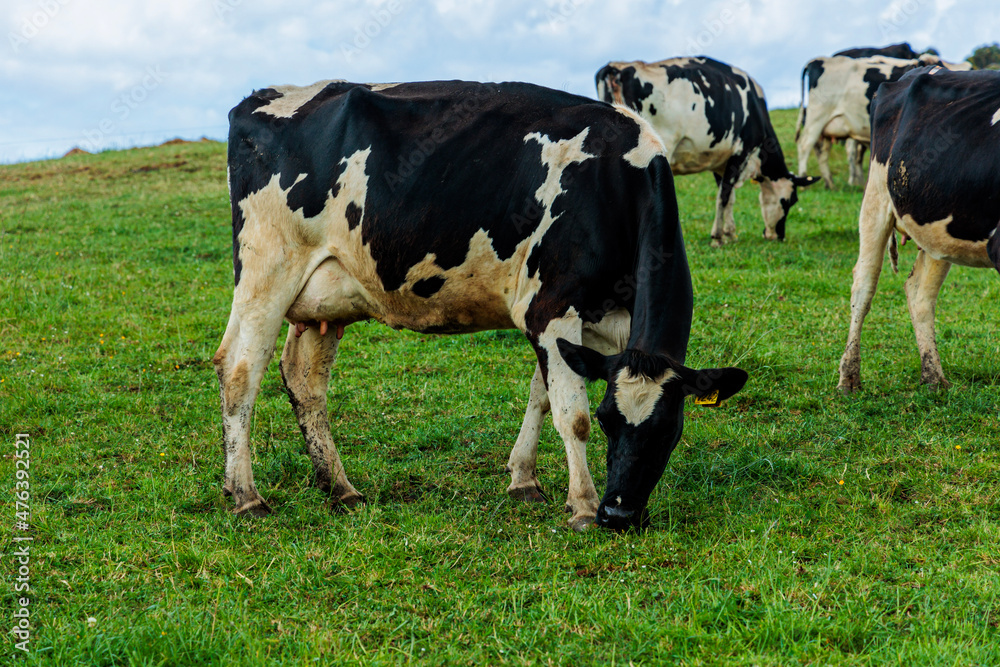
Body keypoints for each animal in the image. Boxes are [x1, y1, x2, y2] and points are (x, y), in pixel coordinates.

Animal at [219, 77, 752, 532]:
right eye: (608, 420)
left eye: (668, 430)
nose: (618, 515)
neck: (613, 181)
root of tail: (263, 97)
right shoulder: (550, 307)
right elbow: (570, 415)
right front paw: (581, 504)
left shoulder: (588, 324)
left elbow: (542, 396)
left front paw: (523, 479)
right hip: (267, 271)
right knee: (239, 370)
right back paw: (246, 496)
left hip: (323, 299)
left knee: (304, 380)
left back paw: (340, 488)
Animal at [592, 56, 820, 248]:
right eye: (790, 201)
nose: (779, 236)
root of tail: (618, 66)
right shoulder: (741, 152)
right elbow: (724, 196)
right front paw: (717, 237)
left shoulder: (721, 161)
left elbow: (729, 196)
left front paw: (730, 233)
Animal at [836, 66, 1000, 394]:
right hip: (876, 198)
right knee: (863, 284)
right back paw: (849, 377)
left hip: (937, 227)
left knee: (919, 292)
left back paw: (933, 377)